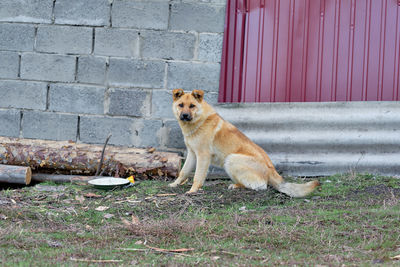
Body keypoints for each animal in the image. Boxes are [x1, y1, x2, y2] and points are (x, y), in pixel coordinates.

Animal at [169, 89, 318, 197]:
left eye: (192, 106)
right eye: (181, 105)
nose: (185, 116)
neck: (199, 121)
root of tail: (272, 170)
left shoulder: (203, 156)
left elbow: (197, 176)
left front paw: (193, 191)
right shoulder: (192, 154)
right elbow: (183, 172)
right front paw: (174, 184)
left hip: (231, 159)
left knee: (260, 186)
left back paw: (236, 186)